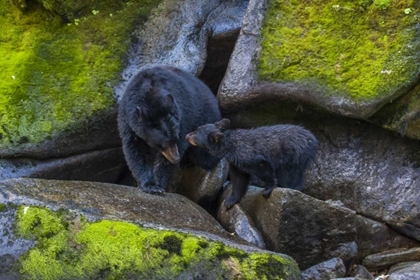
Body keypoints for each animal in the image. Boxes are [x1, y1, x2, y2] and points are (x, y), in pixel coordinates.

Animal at [118, 65, 221, 194]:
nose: (176, 159)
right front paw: (150, 185)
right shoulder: (127, 120)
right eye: (162, 144)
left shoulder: (183, 115)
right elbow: (134, 149)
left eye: (175, 138)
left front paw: (158, 184)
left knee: (205, 157)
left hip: (206, 121)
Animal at [185, 119, 316, 209]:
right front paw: (229, 201)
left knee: (291, 176)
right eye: (196, 129)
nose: (186, 135)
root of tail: (313, 139)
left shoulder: (249, 156)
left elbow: (263, 169)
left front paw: (268, 188)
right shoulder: (236, 163)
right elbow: (239, 180)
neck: (229, 148)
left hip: (294, 156)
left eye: (196, 134)